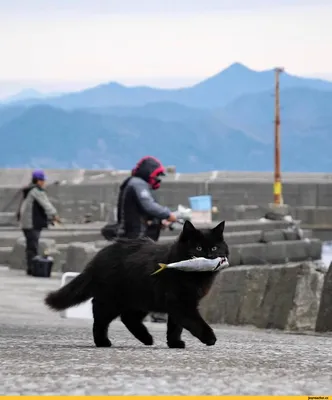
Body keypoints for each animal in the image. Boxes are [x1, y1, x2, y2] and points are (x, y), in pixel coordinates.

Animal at [44, 220, 228, 348]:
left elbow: (175, 326)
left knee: (128, 318)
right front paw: (210, 337)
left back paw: (146, 338)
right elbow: (193, 321)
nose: (209, 256)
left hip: (142, 298)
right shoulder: (180, 303)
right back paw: (103, 342)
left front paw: (175, 343)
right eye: (198, 248)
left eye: (214, 248)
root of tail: (98, 257)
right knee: (100, 318)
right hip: (113, 299)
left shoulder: (179, 304)